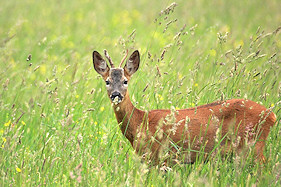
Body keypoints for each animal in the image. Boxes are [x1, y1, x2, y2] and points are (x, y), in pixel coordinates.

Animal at [92, 49, 276, 165]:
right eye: (107, 81)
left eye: (125, 81)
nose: (116, 94)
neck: (140, 122)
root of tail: (272, 115)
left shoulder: (160, 156)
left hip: (253, 145)